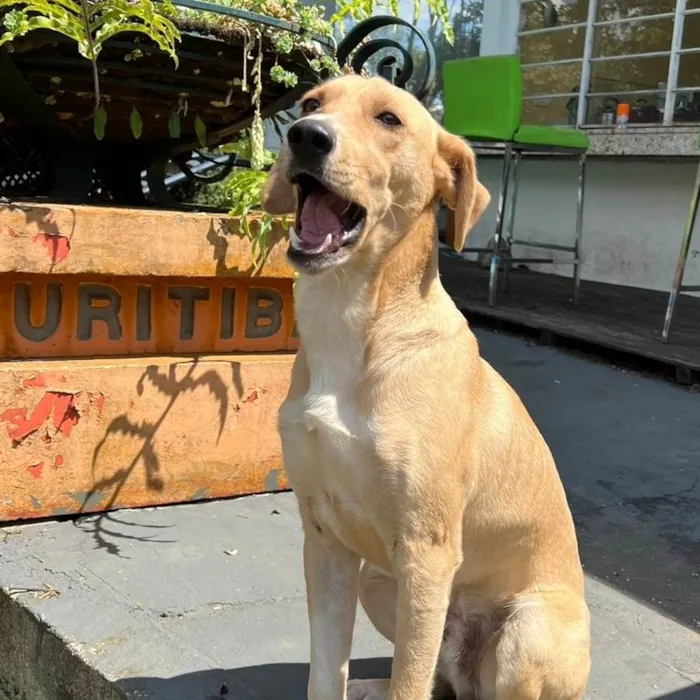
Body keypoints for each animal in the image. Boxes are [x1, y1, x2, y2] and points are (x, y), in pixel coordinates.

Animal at [262, 76, 592, 700]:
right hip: (381, 584)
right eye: (311, 104)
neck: (353, 324)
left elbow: (407, 685)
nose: (306, 137)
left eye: (389, 119)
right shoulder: (324, 540)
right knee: (438, 678)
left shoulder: (426, 553)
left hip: (527, 627)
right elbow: (326, 671)